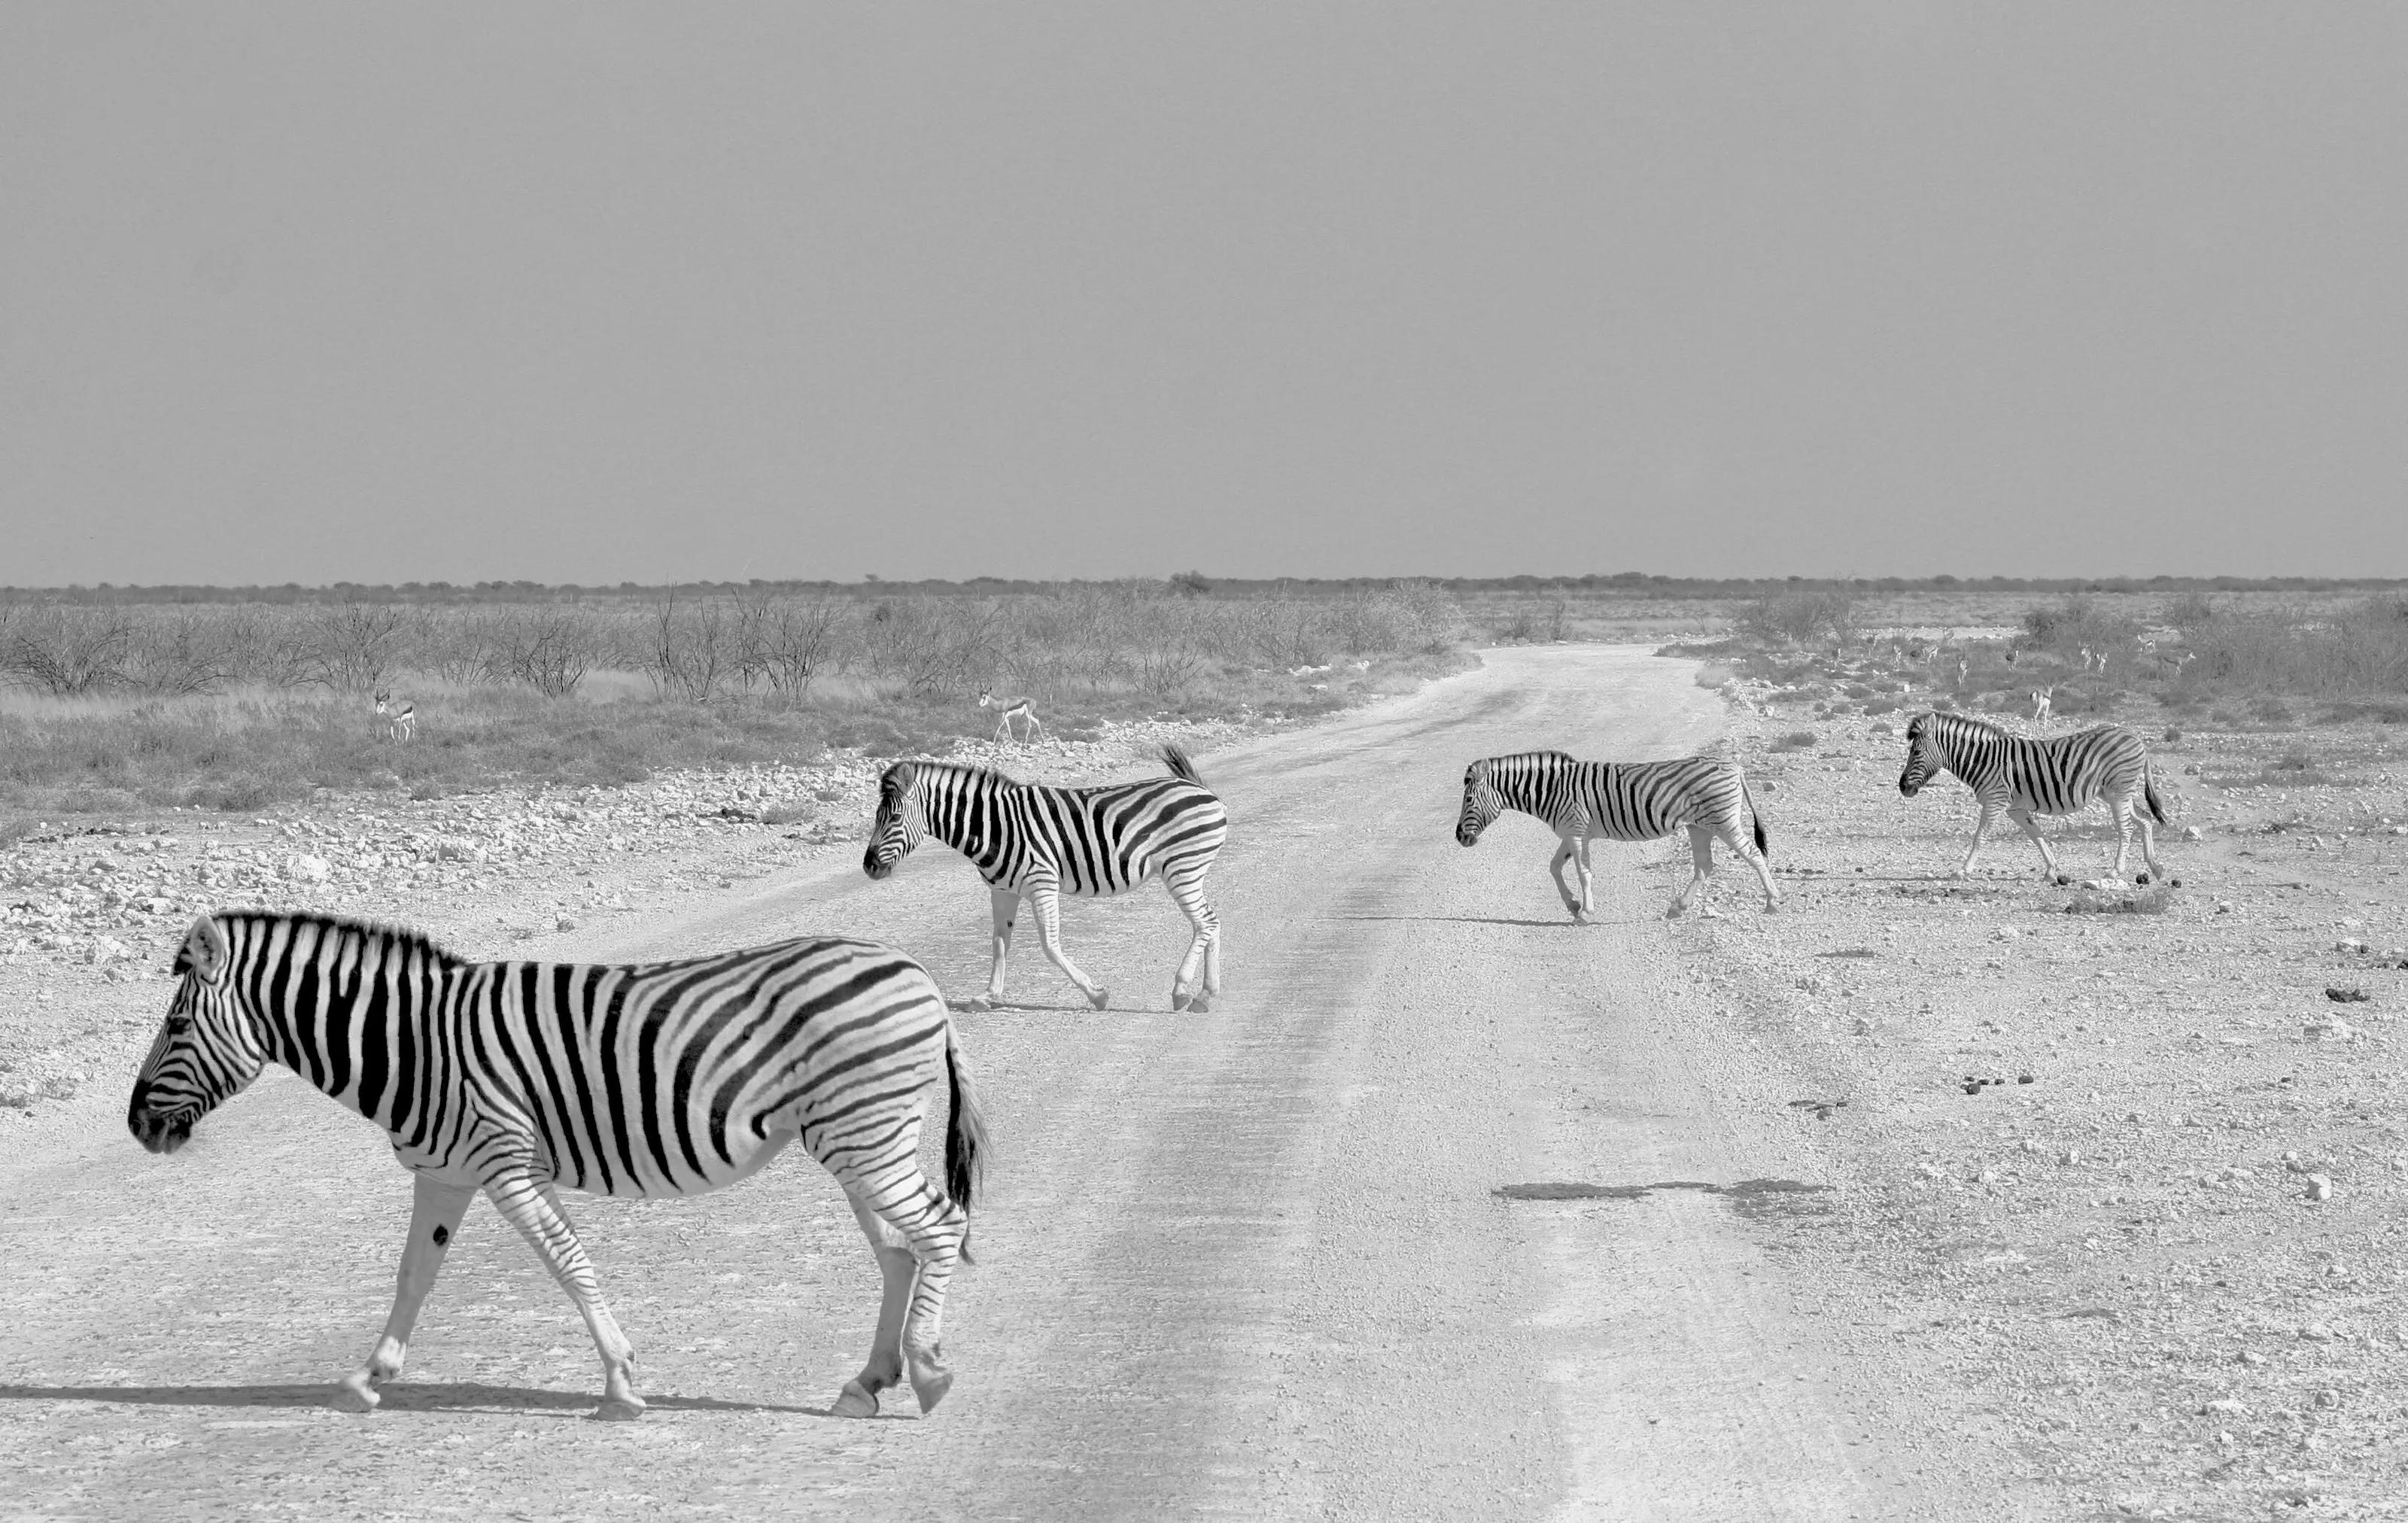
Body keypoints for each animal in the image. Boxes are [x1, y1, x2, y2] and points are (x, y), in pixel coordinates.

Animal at [127, 911, 985, 1422]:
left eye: (176, 1025)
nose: (136, 1126)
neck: (414, 1046)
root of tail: (913, 971)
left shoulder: (505, 1159)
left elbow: (567, 1261)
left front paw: (622, 1382)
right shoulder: (444, 1172)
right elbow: (414, 1275)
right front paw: (370, 1376)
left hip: (865, 1135)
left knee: (941, 1228)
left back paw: (929, 1372)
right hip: (860, 1138)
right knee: (899, 1250)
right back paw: (868, 1381)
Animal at [864, 745, 1227, 1012]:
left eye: (894, 817)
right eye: (876, 817)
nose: (869, 867)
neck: (995, 828)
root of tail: (1202, 789)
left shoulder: (1042, 883)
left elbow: (1050, 946)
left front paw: (1097, 995)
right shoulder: (1002, 891)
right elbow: (999, 944)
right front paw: (988, 996)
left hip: (1182, 869)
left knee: (1205, 923)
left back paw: (1181, 991)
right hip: (1189, 872)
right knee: (1211, 921)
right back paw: (1206, 994)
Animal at [1454, 749, 1779, 918]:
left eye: (1468, 800)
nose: (1459, 837)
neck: (1552, 790)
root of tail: (1734, 766)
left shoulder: (1576, 832)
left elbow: (1583, 872)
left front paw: (1585, 913)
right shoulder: (1571, 834)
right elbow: (1555, 867)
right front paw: (1573, 905)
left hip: (1723, 821)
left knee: (1753, 854)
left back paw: (1772, 902)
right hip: (1699, 826)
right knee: (1705, 866)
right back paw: (1679, 908)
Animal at [1895, 710, 2169, 882]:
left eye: (1916, 752)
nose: (1902, 786)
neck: (1983, 760)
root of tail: (2135, 737)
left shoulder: (1995, 801)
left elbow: (1979, 837)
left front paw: (1963, 871)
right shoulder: (2014, 808)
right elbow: (2036, 835)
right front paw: (2051, 871)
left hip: (2117, 792)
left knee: (2126, 829)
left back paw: (2114, 872)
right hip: (2115, 794)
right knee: (2145, 820)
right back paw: (2156, 867)